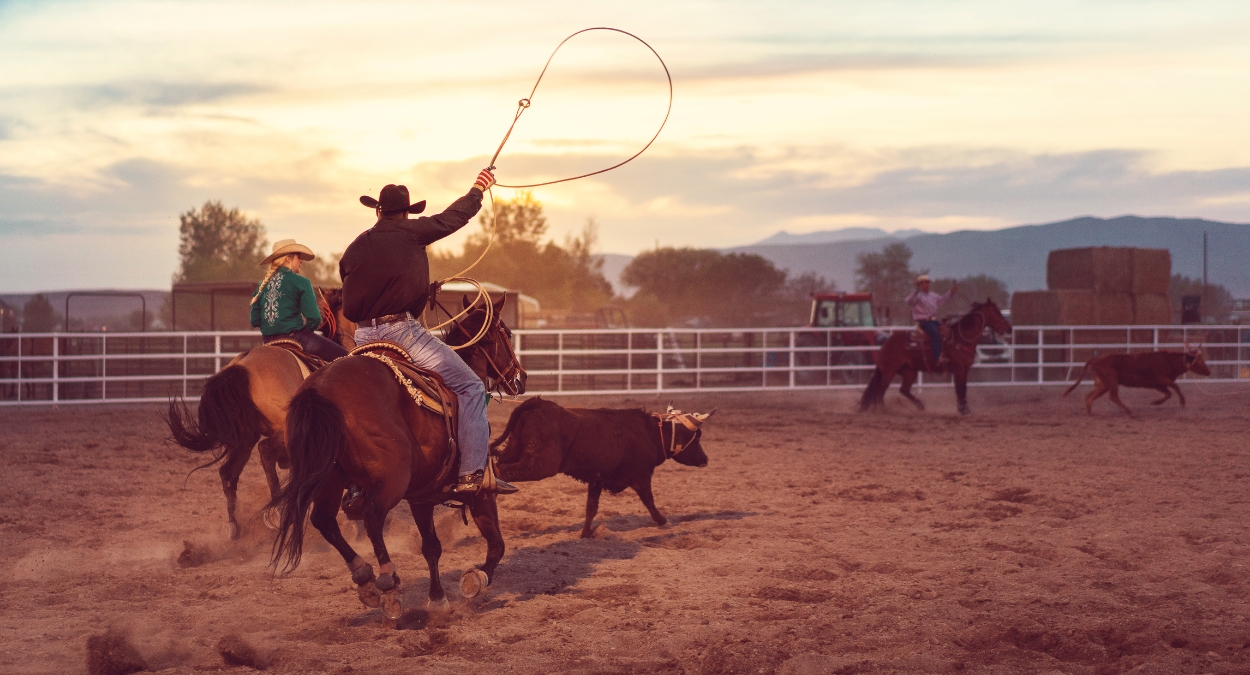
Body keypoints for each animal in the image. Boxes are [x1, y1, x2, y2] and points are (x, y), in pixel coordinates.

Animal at [163, 287, 355, 540]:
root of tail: (242, 366)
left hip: (244, 437)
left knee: (228, 474)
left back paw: (235, 527)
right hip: (278, 433)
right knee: (264, 453)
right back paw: (277, 512)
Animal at [271, 295, 525, 617]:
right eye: (508, 333)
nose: (521, 378)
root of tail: (321, 388)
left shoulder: (421, 496)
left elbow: (431, 547)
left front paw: (437, 598)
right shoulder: (481, 491)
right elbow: (496, 545)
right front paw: (475, 581)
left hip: (330, 477)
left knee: (324, 520)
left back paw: (364, 578)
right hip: (391, 480)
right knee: (371, 517)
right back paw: (388, 582)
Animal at [492, 400, 720, 537]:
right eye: (696, 437)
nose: (705, 459)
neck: (649, 432)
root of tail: (539, 403)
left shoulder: (596, 480)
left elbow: (591, 508)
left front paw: (585, 533)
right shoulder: (641, 476)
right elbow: (649, 501)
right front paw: (662, 521)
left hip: (514, 450)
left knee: (496, 467)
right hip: (539, 466)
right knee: (502, 472)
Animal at [860, 297, 1005, 415]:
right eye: (997, 312)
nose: (1007, 328)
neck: (960, 338)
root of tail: (887, 342)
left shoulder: (965, 368)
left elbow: (963, 388)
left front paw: (965, 408)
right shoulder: (958, 368)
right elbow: (959, 388)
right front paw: (962, 409)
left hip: (909, 371)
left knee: (902, 390)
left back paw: (919, 406)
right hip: (889, 371)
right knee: (880, 391)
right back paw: (883, 411)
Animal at [1065, 345, 1210, 415]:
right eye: (1200, 361)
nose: (1209, 372)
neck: (1169, 361)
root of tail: (1095, 359)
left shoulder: (1157, 384)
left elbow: (1168, 393)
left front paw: (1155, 402)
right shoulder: (1162, 379)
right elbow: (1175, 387)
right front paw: (1182, 401)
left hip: (1102, 384)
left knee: (1089, 396)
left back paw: (1089, 412)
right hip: (1111, 381)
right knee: (1113, 396)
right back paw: (1128, 410)